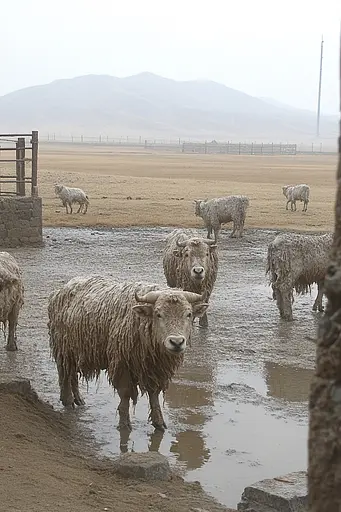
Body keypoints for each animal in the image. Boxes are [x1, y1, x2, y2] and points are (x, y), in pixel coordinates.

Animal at [47, 278, 207, 430]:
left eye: (188, 314)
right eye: (158, 314)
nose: (176, 342)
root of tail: (62, 290)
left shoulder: (155, 369)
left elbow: (154, 395)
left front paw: (159, 422)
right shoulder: (121, 364)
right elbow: (125, 394)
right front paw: (124, 423)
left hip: (75, 351)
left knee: (72, 374)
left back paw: (78, 399)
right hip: (63, 348)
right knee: (64, 373)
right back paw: (67, 400)